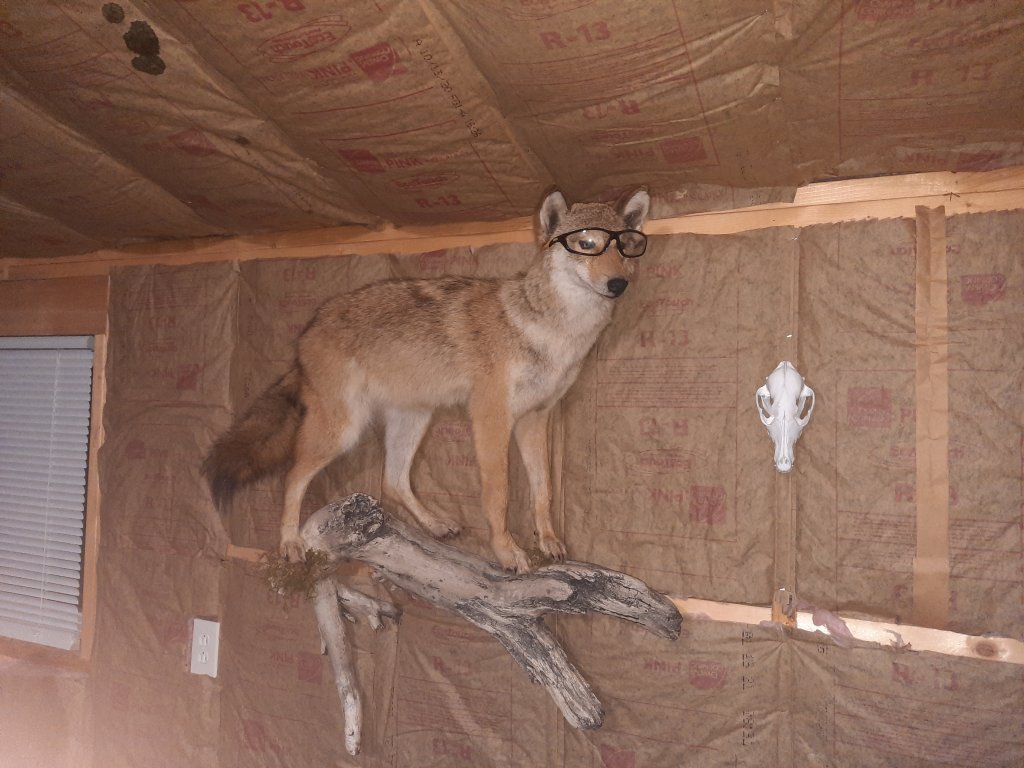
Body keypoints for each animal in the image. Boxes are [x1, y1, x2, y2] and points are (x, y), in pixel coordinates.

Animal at [202, 187, 650, 572]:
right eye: (586, 244)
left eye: (625, 247)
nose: (618, 284)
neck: (557, 332)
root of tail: (308, 332)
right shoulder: (491, 420)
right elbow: (498, 495)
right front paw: (507, 553)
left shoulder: (534, 419)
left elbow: (543, 490)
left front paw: (549, 541)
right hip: (343, 432)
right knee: (293, 475)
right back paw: (290, 544)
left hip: (413, 421)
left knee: (393, 479)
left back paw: (435, 524)